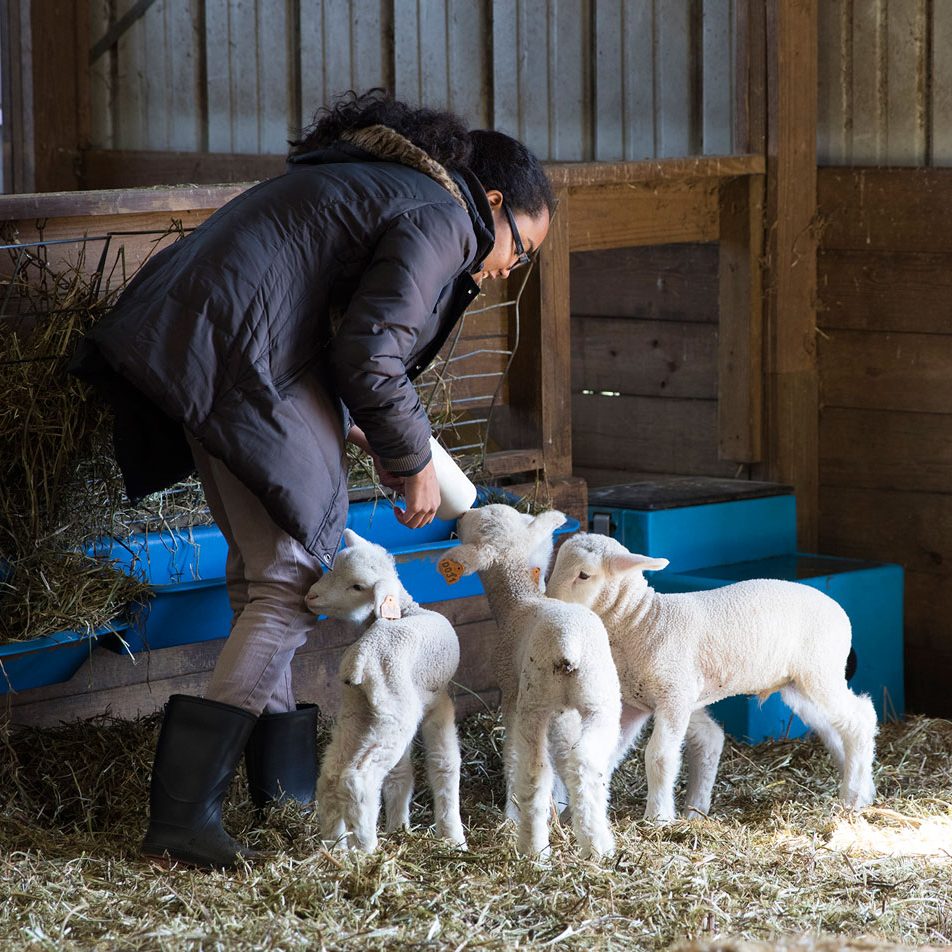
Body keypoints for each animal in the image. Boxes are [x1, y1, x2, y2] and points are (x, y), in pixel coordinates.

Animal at [306, 532, 466, 852]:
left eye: (357, 586)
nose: (310, 596)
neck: (404, 610)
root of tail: (362, 656)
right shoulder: (438, 703)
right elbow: (444, 763)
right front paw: (453, 837)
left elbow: (400, 773)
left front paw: (399, 826)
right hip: (396, 715)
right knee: (358, 779)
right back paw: (366, 847)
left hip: (360, 711)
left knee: (331, 776)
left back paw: (336, 847)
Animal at [436, 506, 620, 864]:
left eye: (477, 524)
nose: (460, 517)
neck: (518, 600)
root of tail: (568, 642)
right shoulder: (565, 713)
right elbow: (566, 757)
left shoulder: (510, 693)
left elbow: (511, 755)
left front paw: (511, 813)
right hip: (599, 700)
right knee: (586, 761)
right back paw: (598, 845)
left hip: (534, 703)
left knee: (535, 770)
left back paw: (532, 848)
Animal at [548, 532, 872, 820]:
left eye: (584, 575)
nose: (550, 605)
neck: (642, 622)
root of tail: (840, 612)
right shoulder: (633, 703)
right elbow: (607, 753)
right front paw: (572, 816)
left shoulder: (675, 697)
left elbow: (659, 757)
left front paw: (657, 817)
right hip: (798, 685)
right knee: (834, 728)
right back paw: (863, 788)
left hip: (821, 671)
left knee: (860, 719)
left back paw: (852, 797)